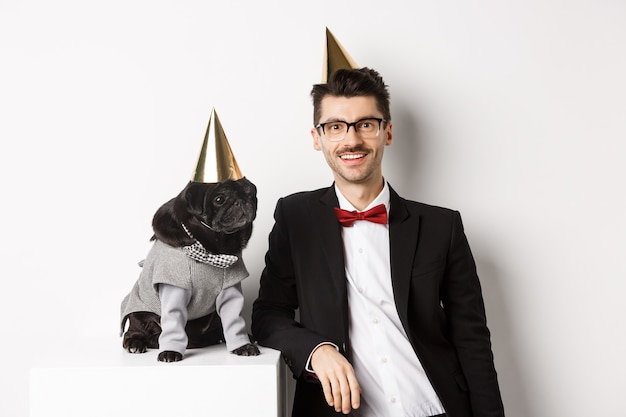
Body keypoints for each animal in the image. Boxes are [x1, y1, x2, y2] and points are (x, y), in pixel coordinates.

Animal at [119, 176, 258, 360]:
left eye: (250, 194)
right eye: (219, 199)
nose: (240, 201)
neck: (215, 247)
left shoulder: (230, 289)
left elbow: (234, 321)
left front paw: (243, 345)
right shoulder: (174, 288)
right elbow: (173, 323)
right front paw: (170, 351)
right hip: (139, 312)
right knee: (133, 331)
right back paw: (135, 343)